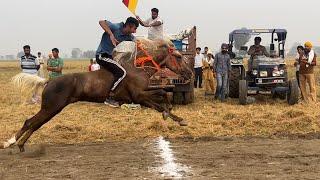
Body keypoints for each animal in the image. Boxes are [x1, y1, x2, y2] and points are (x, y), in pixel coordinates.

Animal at [1, 39, 192, 152]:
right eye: (178, 56)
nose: (189, 73)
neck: (139, 69)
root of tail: (49, 81)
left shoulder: (143, 96)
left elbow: (162, 96)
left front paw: (175, 117)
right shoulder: (139, 96)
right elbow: (161, 99)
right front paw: (171, 114)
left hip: (52, 109)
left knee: (34, 124)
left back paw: (19, 144)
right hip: (51, 107)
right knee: (30, 122)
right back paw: (11, 142)